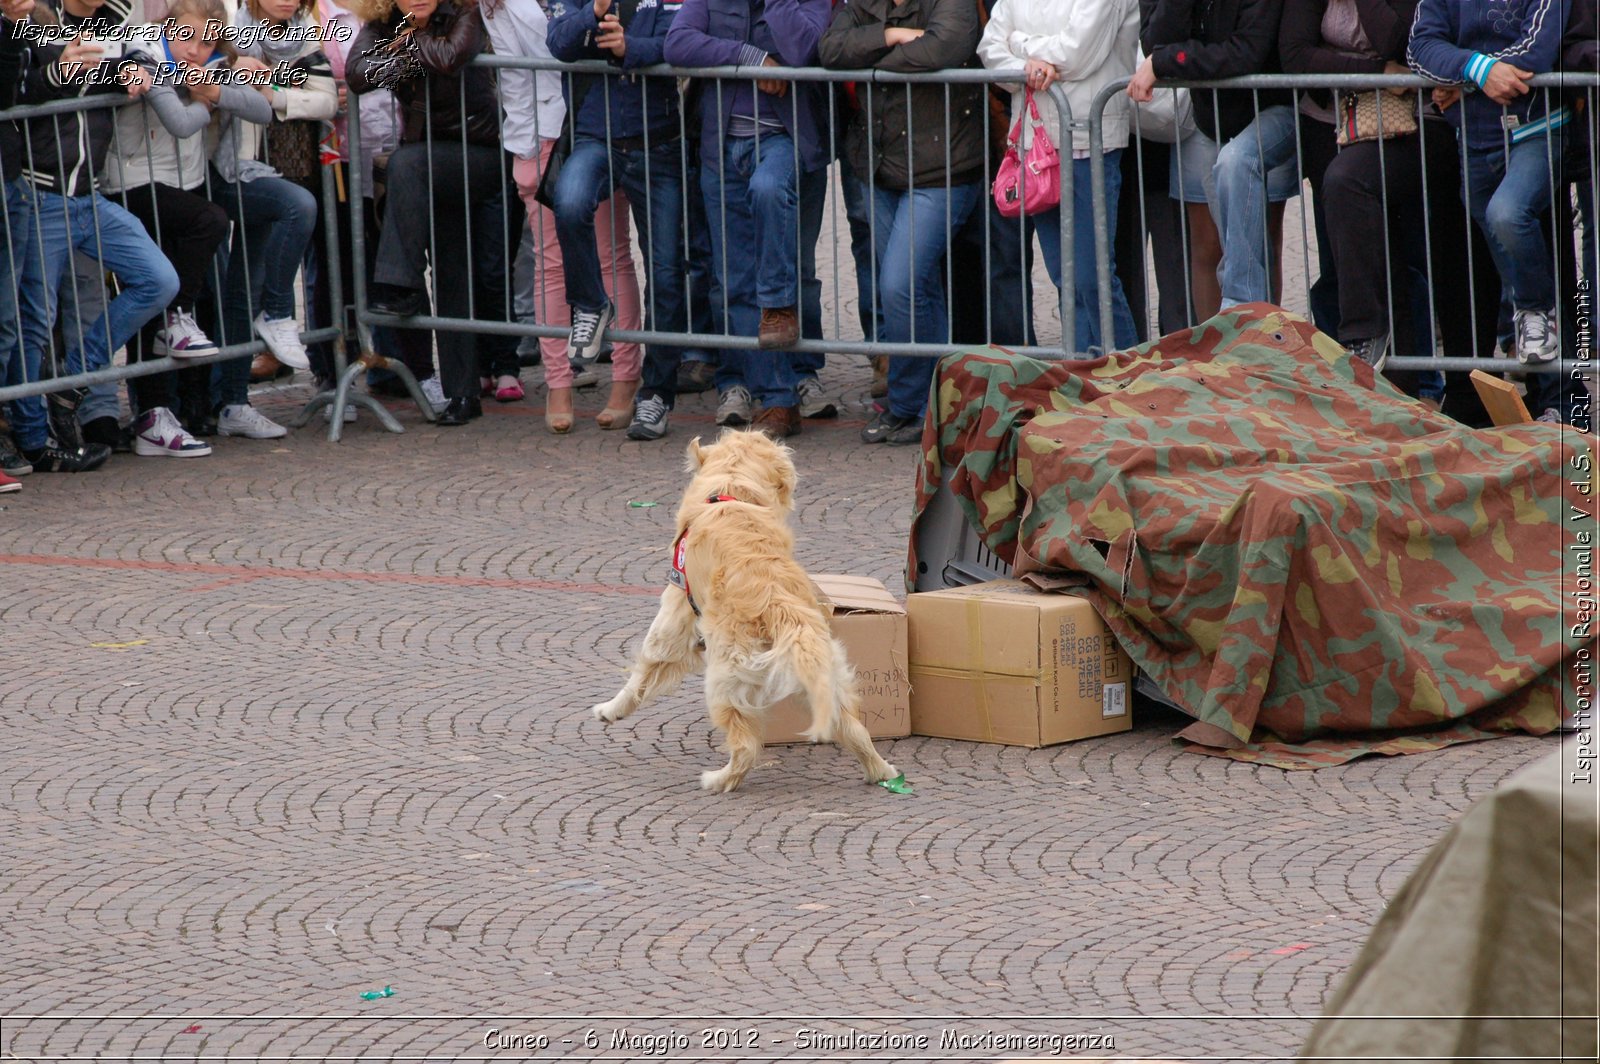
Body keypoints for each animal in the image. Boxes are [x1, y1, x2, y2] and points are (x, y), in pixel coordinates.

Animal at [595, 428, 908, 787]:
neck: (731, 490)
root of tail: (780, 607)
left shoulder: (675, 606)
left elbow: (644, 668)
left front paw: (610, 709)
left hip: (724, 681)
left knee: (745, 747)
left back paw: (718, 780)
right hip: (822, 676)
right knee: (855, 731)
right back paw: (881, 772)